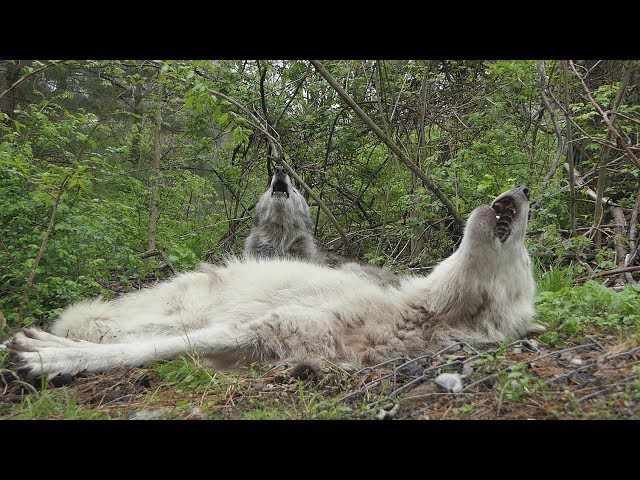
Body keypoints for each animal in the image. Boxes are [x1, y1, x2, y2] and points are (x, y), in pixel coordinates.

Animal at [5, 187, 541, 378]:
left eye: (526, 261)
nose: (523, 188)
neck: (414, 315)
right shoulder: (253, 325)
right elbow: (150, 348)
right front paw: (48, 354)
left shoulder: (263, 337)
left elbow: (156, 350)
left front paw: (49, 358)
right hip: (183, 305)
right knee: (115, 326)